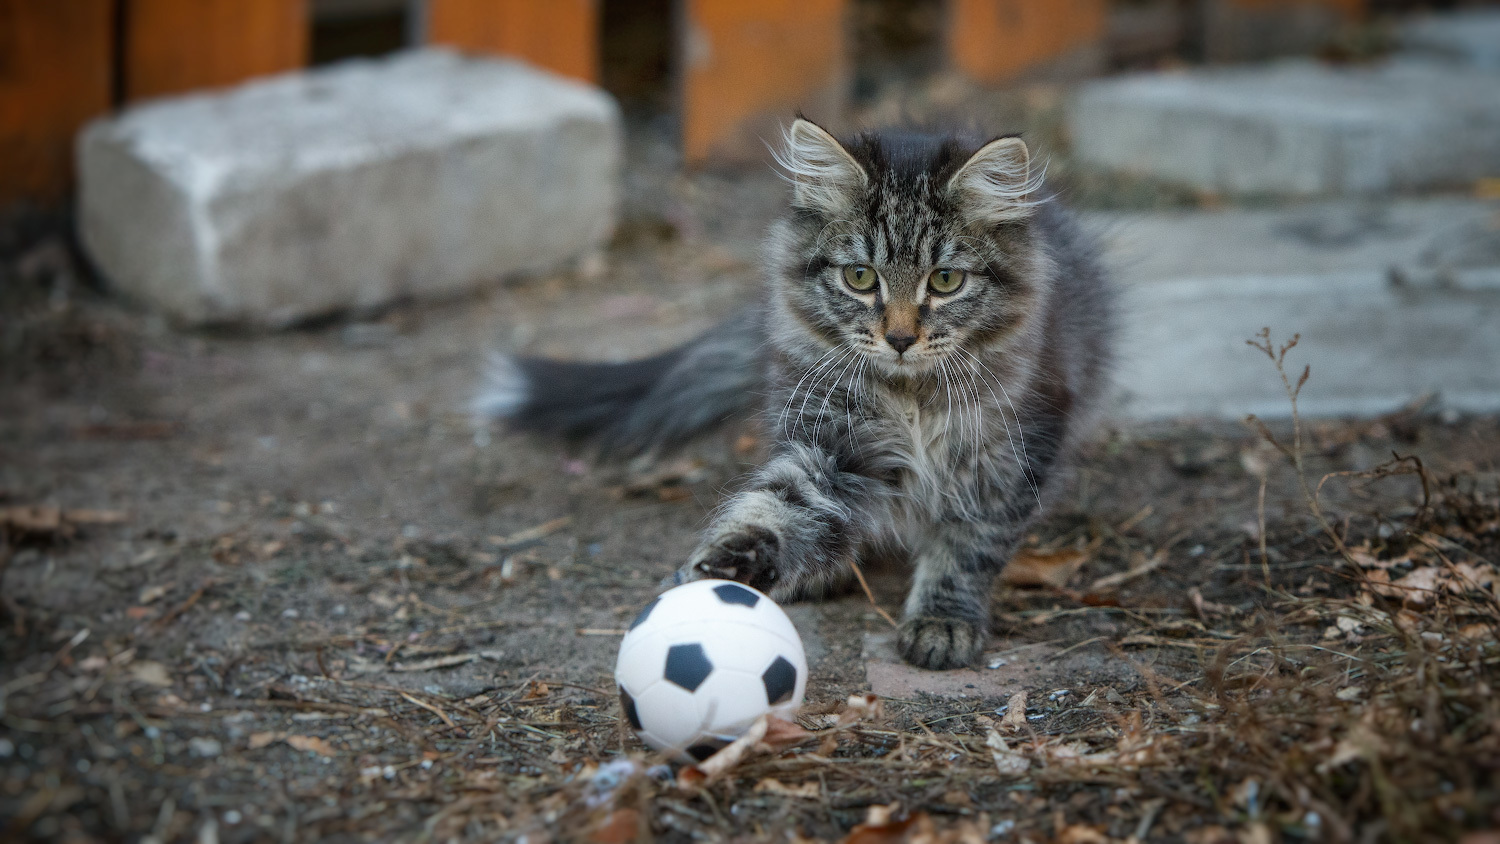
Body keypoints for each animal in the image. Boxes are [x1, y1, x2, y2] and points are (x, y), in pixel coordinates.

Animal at [477, 120, 1116, 674]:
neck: (911, 398)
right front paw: (734, 557)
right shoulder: (831, 445)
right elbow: (779, 505)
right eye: (860, 278)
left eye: (945, 281)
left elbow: (968, 545)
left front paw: (943, 621)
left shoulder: (1011, 454)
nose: (900, 338)